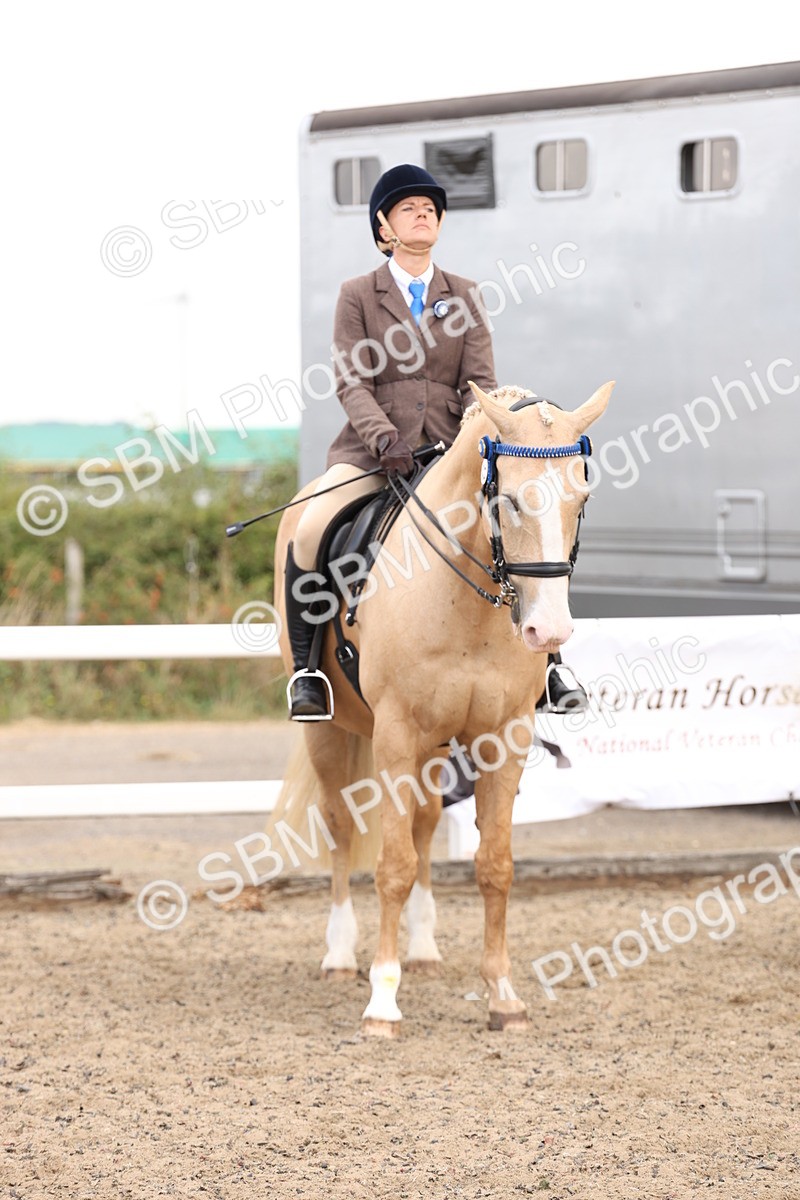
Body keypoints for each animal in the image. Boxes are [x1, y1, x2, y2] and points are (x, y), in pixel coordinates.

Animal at [270, 380, 614, 1036]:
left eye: (582, 498)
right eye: (508, 500)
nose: (548, 631)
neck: (469, 608)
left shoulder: (504, 737)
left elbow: (494, 864)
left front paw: (503, 996)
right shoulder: (395, 735)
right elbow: (393, 865)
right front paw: (382, 1002)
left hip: (433, 746)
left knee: (426, 822)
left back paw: (424, 949)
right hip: (331, 733)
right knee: (340, 826)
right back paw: (338, 954)